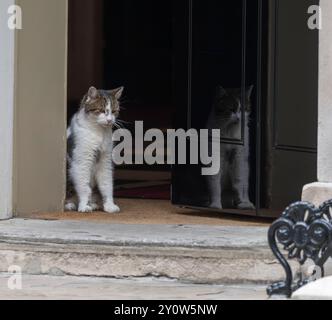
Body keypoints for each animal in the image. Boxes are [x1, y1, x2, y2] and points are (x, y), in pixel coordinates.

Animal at [64, 86, 123, 214]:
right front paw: (84, 206)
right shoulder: (81, 164)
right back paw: (70, 204)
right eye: (101, 110)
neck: (99, 132)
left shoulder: (105, 163)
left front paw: (109, 205)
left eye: (114, 111)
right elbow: (84, 187)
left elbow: (107, 185)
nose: (110, 120)